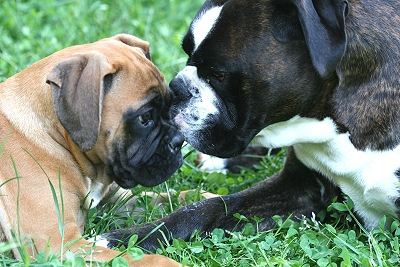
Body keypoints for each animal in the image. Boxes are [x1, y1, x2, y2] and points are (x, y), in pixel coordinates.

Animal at [0, 34, 184, 266]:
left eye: (170, 105)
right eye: (144, 118)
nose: (179, 141)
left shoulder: (117, 200)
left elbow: (172, 197)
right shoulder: (60, 243)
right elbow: (139, 258)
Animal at [99, 0, 400, 253]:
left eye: (219, 74)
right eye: (186, 54)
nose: (176, 89)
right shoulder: (297, 190)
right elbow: (204, 208)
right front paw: (119, 239)